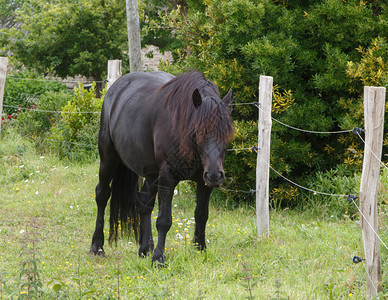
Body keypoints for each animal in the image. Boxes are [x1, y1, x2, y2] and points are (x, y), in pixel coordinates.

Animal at [88, 71, 233, 264]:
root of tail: (115, 88)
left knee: (144, 202)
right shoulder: (167, 178)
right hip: (109, 158)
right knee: (102, 194)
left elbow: (202, 214)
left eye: (226, 133)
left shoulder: (203, 181)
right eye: (197, 132)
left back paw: (145, 248)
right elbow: (164, 220)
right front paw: (158, 258)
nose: (216, 175)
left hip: (151, 173)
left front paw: (200, 249)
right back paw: (97, 246)